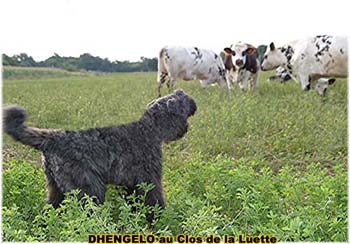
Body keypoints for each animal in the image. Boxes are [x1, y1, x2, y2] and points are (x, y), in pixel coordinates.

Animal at [2, 89, 196, 221]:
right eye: (181, 97)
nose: (194, 102)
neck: (151, 128)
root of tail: (50, 138)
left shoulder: (130, 183)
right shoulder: (148, 179)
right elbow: (153, 201)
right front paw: (157, 220)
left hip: (55, 188)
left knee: (49, 209)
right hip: (89, 189)